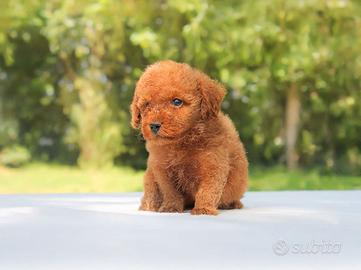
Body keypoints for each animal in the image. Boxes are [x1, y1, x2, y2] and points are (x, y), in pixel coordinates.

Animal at [130, 60, 248, 215]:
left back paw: (233, 204)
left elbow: (207, 191)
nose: (154, 125)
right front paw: (171, 208)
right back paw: (149, 206)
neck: (182, 142)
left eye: (177, 101)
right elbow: (170, 192)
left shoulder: (213, 165)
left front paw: (203, 209)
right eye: (146, 105)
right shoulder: (162, 169)